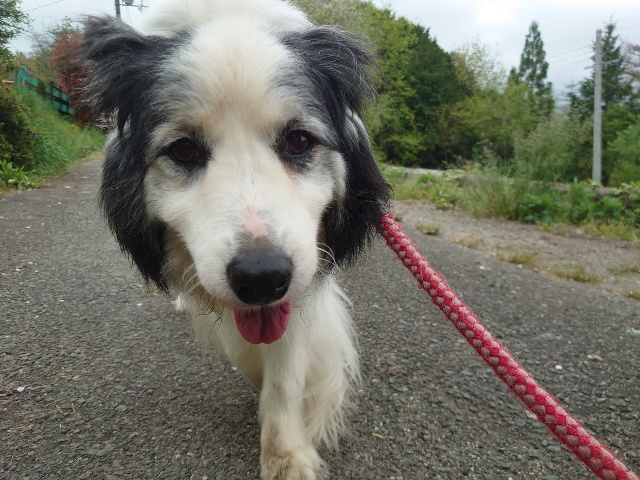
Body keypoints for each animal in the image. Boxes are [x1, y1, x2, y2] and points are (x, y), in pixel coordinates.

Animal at [74, 0, 389, 477]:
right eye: (183, 150)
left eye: (299, 141)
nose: (262, 278)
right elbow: (241, 345)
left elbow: (286, 369)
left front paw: (287, 455)